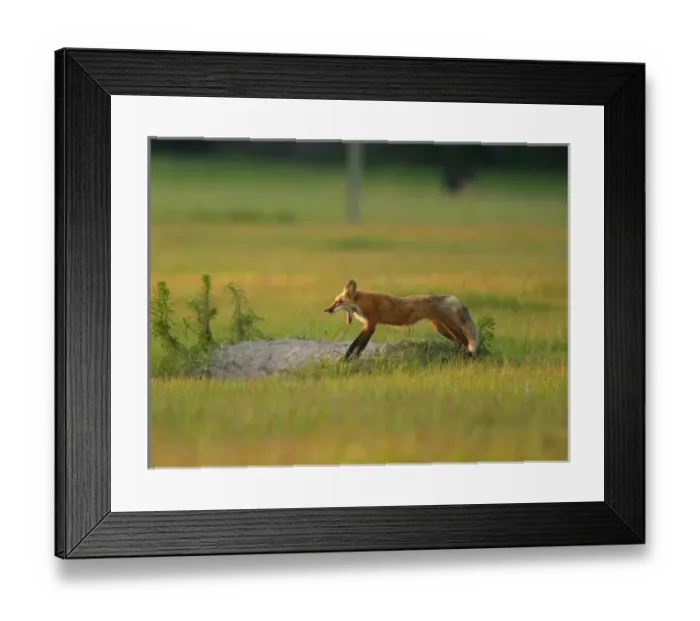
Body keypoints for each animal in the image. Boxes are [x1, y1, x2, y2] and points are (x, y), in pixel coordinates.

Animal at [324, 279, 480, 362]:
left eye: (339, 302)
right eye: (335, 302)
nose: (327, 310)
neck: (366, 303)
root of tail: (454, 298)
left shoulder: (371, 325)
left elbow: (358, 345)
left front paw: (349, 360)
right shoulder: (368, 325)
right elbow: (355, 344)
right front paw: (347, 359)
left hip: (449, 327)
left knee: (465, 341)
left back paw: (472, 358)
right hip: (440, 328)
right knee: (459, 342)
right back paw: (457, 358)